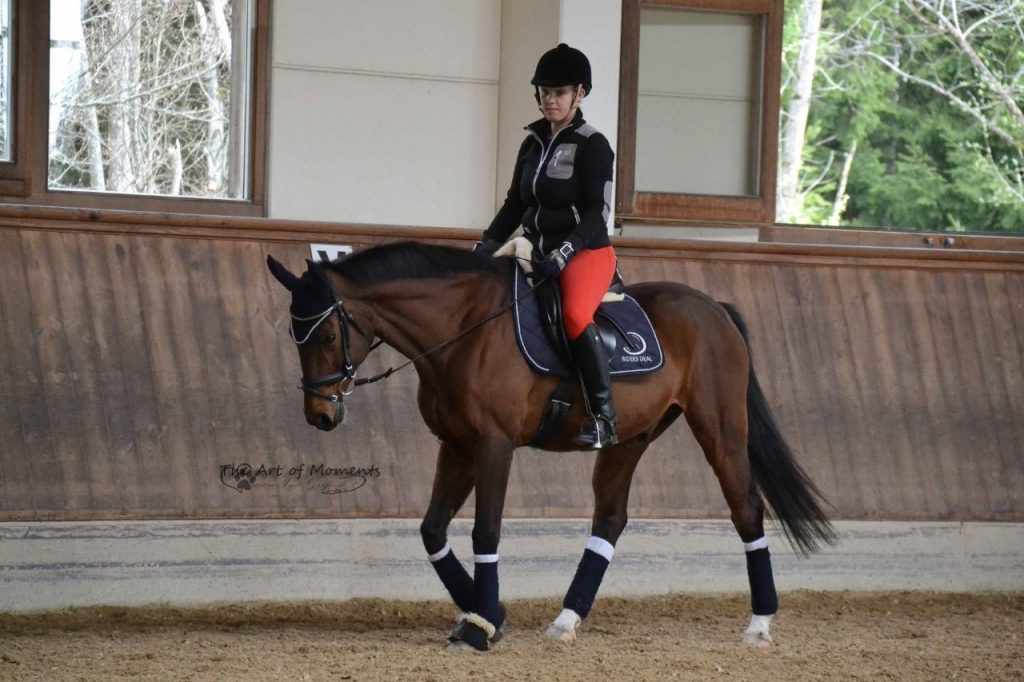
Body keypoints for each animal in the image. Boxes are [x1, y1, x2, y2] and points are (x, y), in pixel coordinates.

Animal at [266, 240, 835, 652]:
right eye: (294, 337)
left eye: (325, 336)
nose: (320, 416)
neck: (464, 328)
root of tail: (712, 306)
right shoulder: (458, 445)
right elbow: (432, 530)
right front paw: (489, 613)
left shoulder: (493, 445)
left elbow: (485, 530)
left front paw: (480, 625)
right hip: (630, 438)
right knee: (610, 518)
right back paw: (566, 619)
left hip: (720, 428)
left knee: (747, 510)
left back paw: (759, 624)